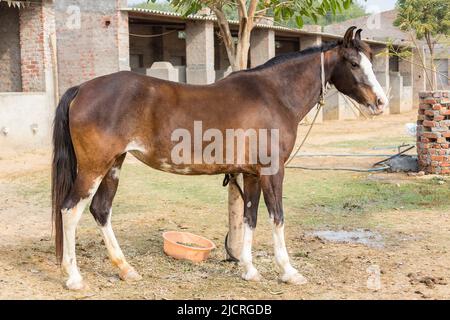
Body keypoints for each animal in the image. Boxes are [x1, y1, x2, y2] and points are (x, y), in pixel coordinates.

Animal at [50, 26, 386, 290]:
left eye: (369, 62)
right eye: (354, 63)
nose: (380, 102)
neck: (274, 95)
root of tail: (83, 88)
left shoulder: (252, 174)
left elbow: (250, 218)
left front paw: (249, 270)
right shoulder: (272, 172)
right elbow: (277, 217)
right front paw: (289, 272)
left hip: (113, 165)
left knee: (100, 210)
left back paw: (126, 269)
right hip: (94, 168)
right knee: (70, 210)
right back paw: (74, 277)